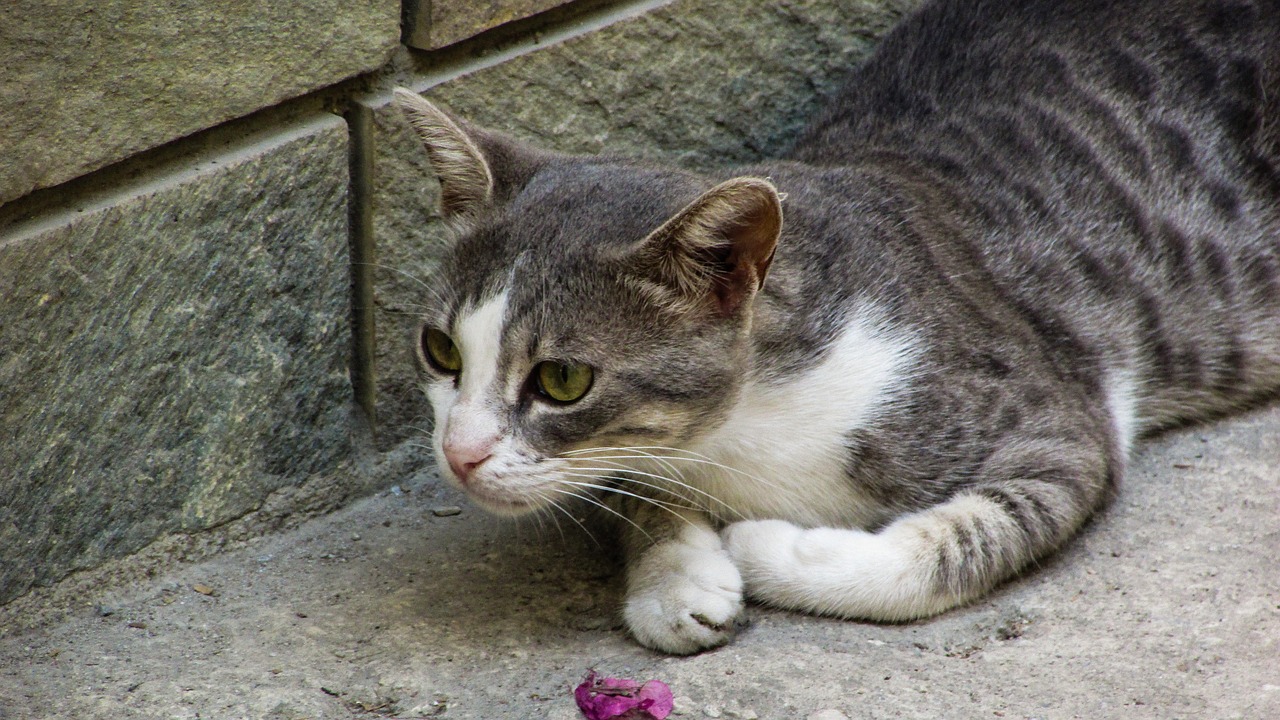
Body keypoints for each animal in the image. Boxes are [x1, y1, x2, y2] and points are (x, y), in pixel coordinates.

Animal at [391, 0, 1280, 653]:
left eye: (562, 380)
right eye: (440, 351)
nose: (459, 454)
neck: (743, 431)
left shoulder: (1060, 419)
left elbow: (949, 547)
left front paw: (762, 547)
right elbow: (638, 499)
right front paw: (676, 580)